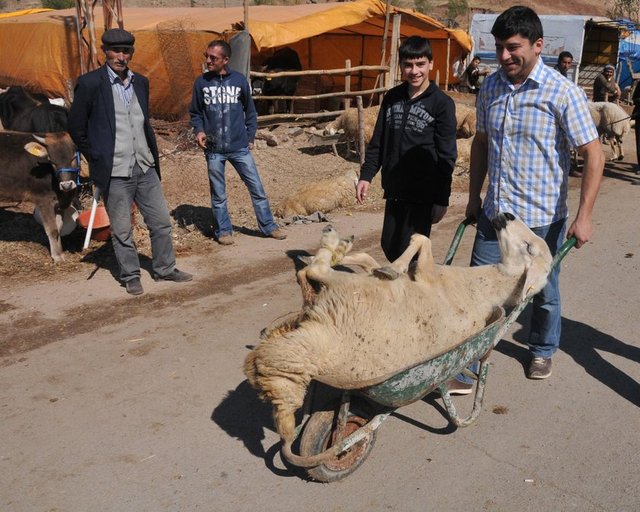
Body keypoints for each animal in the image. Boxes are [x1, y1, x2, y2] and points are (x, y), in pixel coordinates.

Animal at [0, 130, 79, 262]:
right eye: (52, 162)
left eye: (73, 158)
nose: (66, 185)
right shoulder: (44, 200)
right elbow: (52, 229)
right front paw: (57, 257)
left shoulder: (59, 204)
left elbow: (59, 227)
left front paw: (60, 252)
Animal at [242, 212, 552, 456]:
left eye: (529, 248)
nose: (507, 215)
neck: (482, 287)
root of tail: (319, 345)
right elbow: (376, 256)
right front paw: (360, 255)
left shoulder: (426, 274)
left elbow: (421, 241)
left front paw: (392, 266)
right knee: (307, 276)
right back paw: (333, 247)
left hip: (346, 289)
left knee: (314, 272)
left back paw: (329, 243)